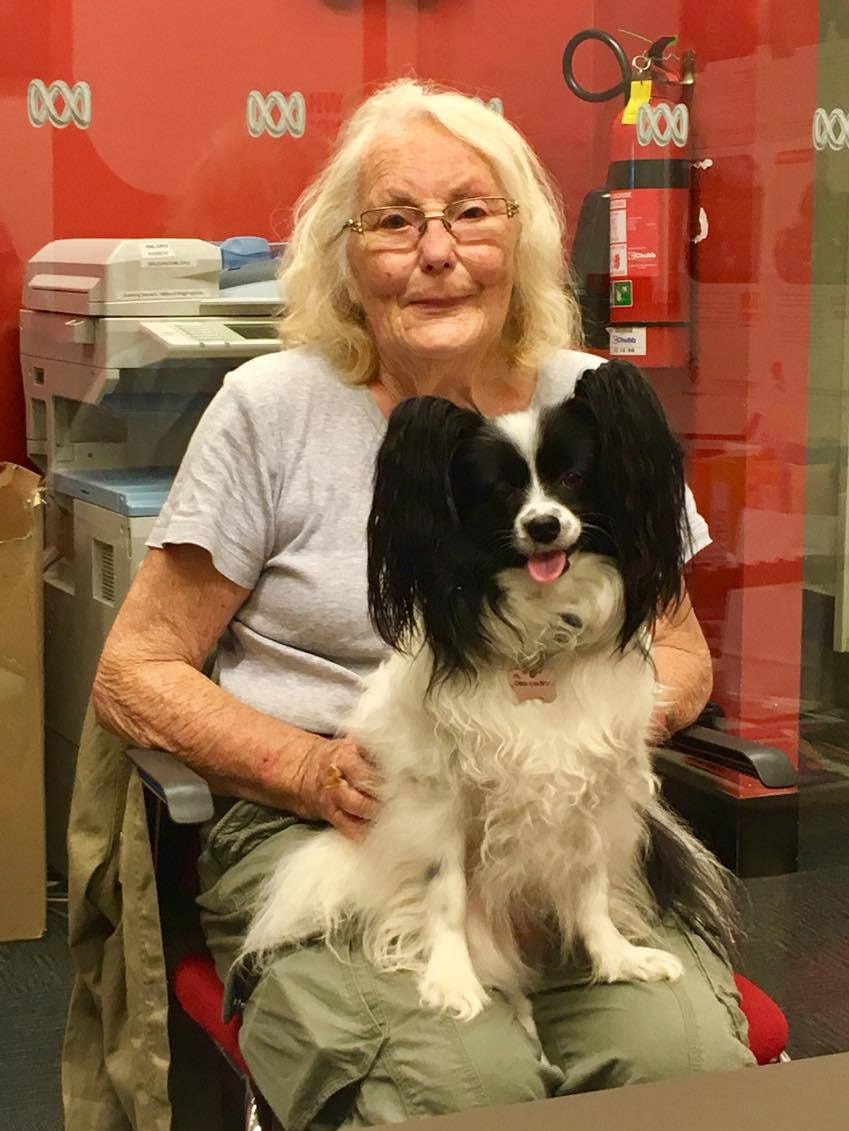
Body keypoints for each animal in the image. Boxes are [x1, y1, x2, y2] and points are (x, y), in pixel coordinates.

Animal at [241, 359, 732, 1026]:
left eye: (573, 478)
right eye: (500, 492)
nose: (544, 525)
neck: (539, 635)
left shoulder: (587, 790)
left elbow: (590, 883)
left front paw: (614, 957)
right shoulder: (442, 800)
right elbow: (444, 893)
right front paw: (452, 979)